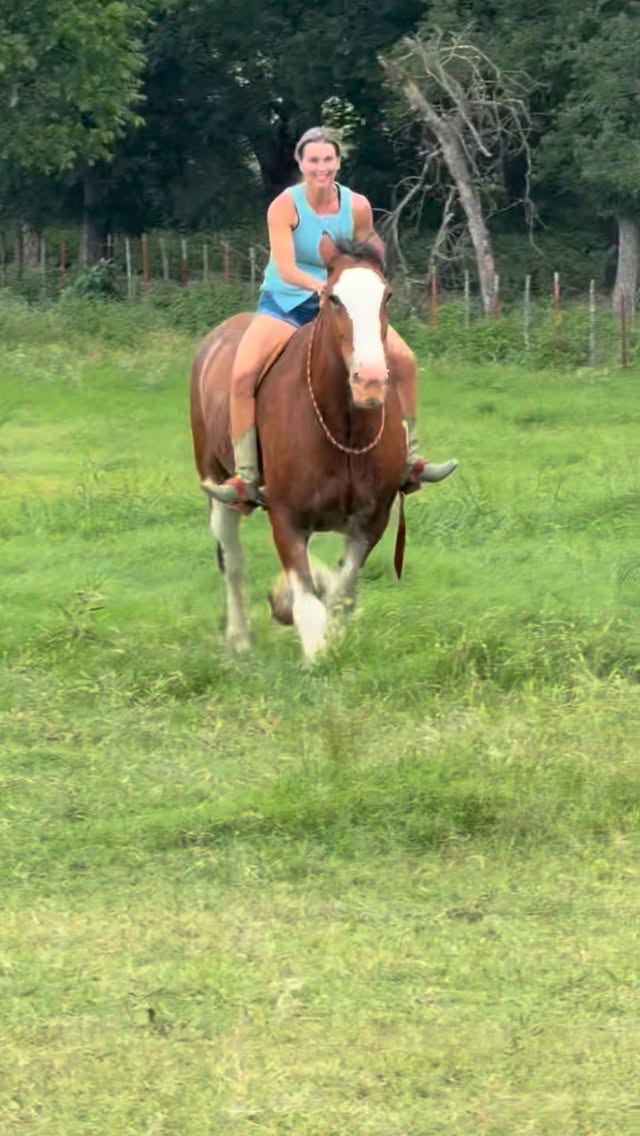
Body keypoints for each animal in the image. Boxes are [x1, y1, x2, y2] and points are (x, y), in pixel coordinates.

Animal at [190, 233, 407, 662]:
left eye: (386, 294)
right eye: (333, 298)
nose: (370, 381)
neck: (343, 429)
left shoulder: (371, 520)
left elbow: (341, 590)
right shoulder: (286, 518)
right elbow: (308, 601)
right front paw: (315, 652)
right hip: (217, 484)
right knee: (232, 560)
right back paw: (239, 640)